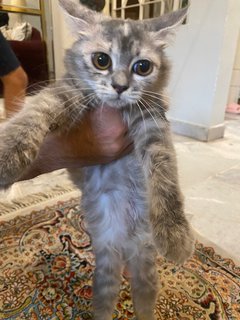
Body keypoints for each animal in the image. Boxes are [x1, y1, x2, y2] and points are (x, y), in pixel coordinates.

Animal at [0, 1, 195, 318]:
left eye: (142, 67)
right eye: (101, 60)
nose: (120, 86)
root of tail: (125, 240)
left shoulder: (153, 120)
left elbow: (165, 173)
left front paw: (175, 234)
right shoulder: (67, 91)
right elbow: (37, 108)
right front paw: (9, 151)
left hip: (144, 265)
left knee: (143, 300)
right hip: (106, 261)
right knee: (105, 301)